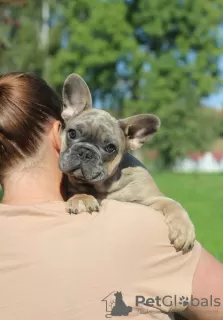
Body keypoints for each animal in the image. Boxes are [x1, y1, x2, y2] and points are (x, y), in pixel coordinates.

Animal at [58, 73, 195, 252]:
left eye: (110, 148)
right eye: (72, 133)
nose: (85, 152)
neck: (104, 186)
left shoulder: (152, 198)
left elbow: (173, 204)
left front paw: (183, 229)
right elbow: (78, 192)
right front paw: (82, 199)